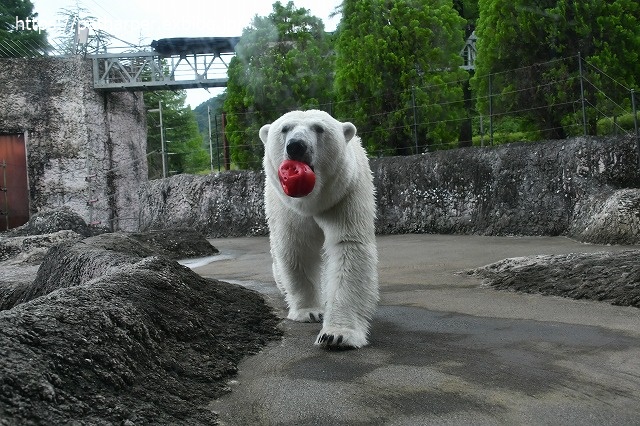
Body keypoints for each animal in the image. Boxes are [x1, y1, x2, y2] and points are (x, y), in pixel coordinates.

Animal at [258, 110, 378, 350]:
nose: (296, 146)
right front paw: (310, 312)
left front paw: (336, 335)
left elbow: (348, 247)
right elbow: (296, 248)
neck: (313, 201)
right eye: (285, 128)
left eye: (319, 128)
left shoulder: (345, 194)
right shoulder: (286, 206)